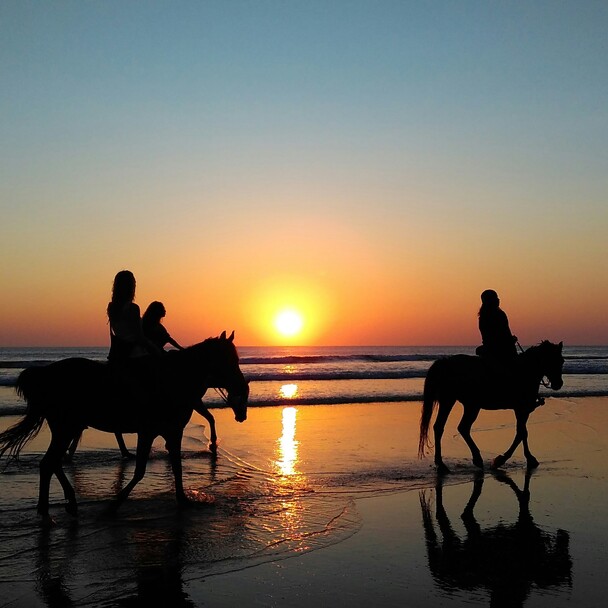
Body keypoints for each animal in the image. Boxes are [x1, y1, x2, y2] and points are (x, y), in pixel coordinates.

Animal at [0, 330, 249, 524]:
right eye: (228, 360)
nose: (242, 387)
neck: (172, 380)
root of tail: (45, 373)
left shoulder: (173, 432)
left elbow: (177, 467)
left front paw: (183, 499)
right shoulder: (148, 432)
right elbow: (140, 470)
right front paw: (114, 505)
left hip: (66, 428)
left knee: (52, 463)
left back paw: (66, 503)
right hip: (66, 428)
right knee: (50, 463)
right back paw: (49, 511)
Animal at [418, 342, 564, 476]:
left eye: (561, 361)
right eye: (553, 360)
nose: (558, 383)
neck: (525, 370)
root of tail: (445, 362)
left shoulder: (521, 410)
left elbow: (522, 433)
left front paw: (525, 458)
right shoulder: (521, 409)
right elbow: (522, 433)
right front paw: (503, 460)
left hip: (465, 404)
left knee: (454, 427)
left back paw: (460, 461)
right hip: (456, 402)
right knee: (449, 427)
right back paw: (452, 462)